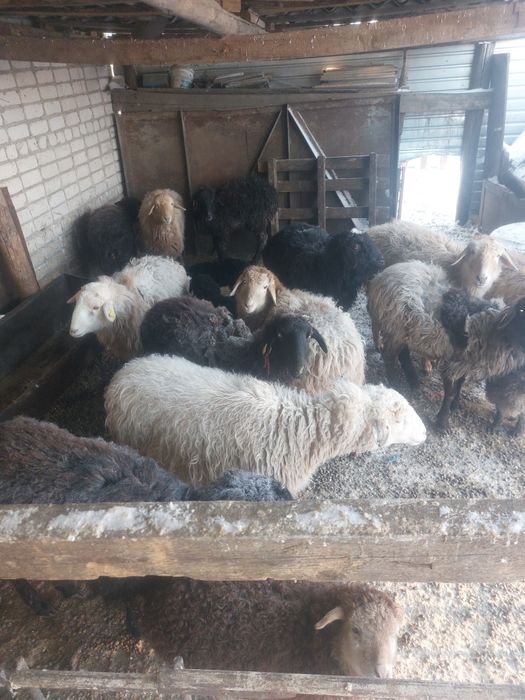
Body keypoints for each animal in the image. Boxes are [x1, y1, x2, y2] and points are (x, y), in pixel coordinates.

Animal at [367, 260, 525, 431]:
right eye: (521, 310)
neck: (491, 329)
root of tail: (381, 276)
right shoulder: (450, 359)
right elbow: (449, 393)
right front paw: (442, 422)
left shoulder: (464, 362)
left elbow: (460, 384)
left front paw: (454, 406)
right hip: (394, 328)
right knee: (389, 356)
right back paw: (396, 383)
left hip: (406, 331)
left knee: (403, 354)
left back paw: (414, 381)